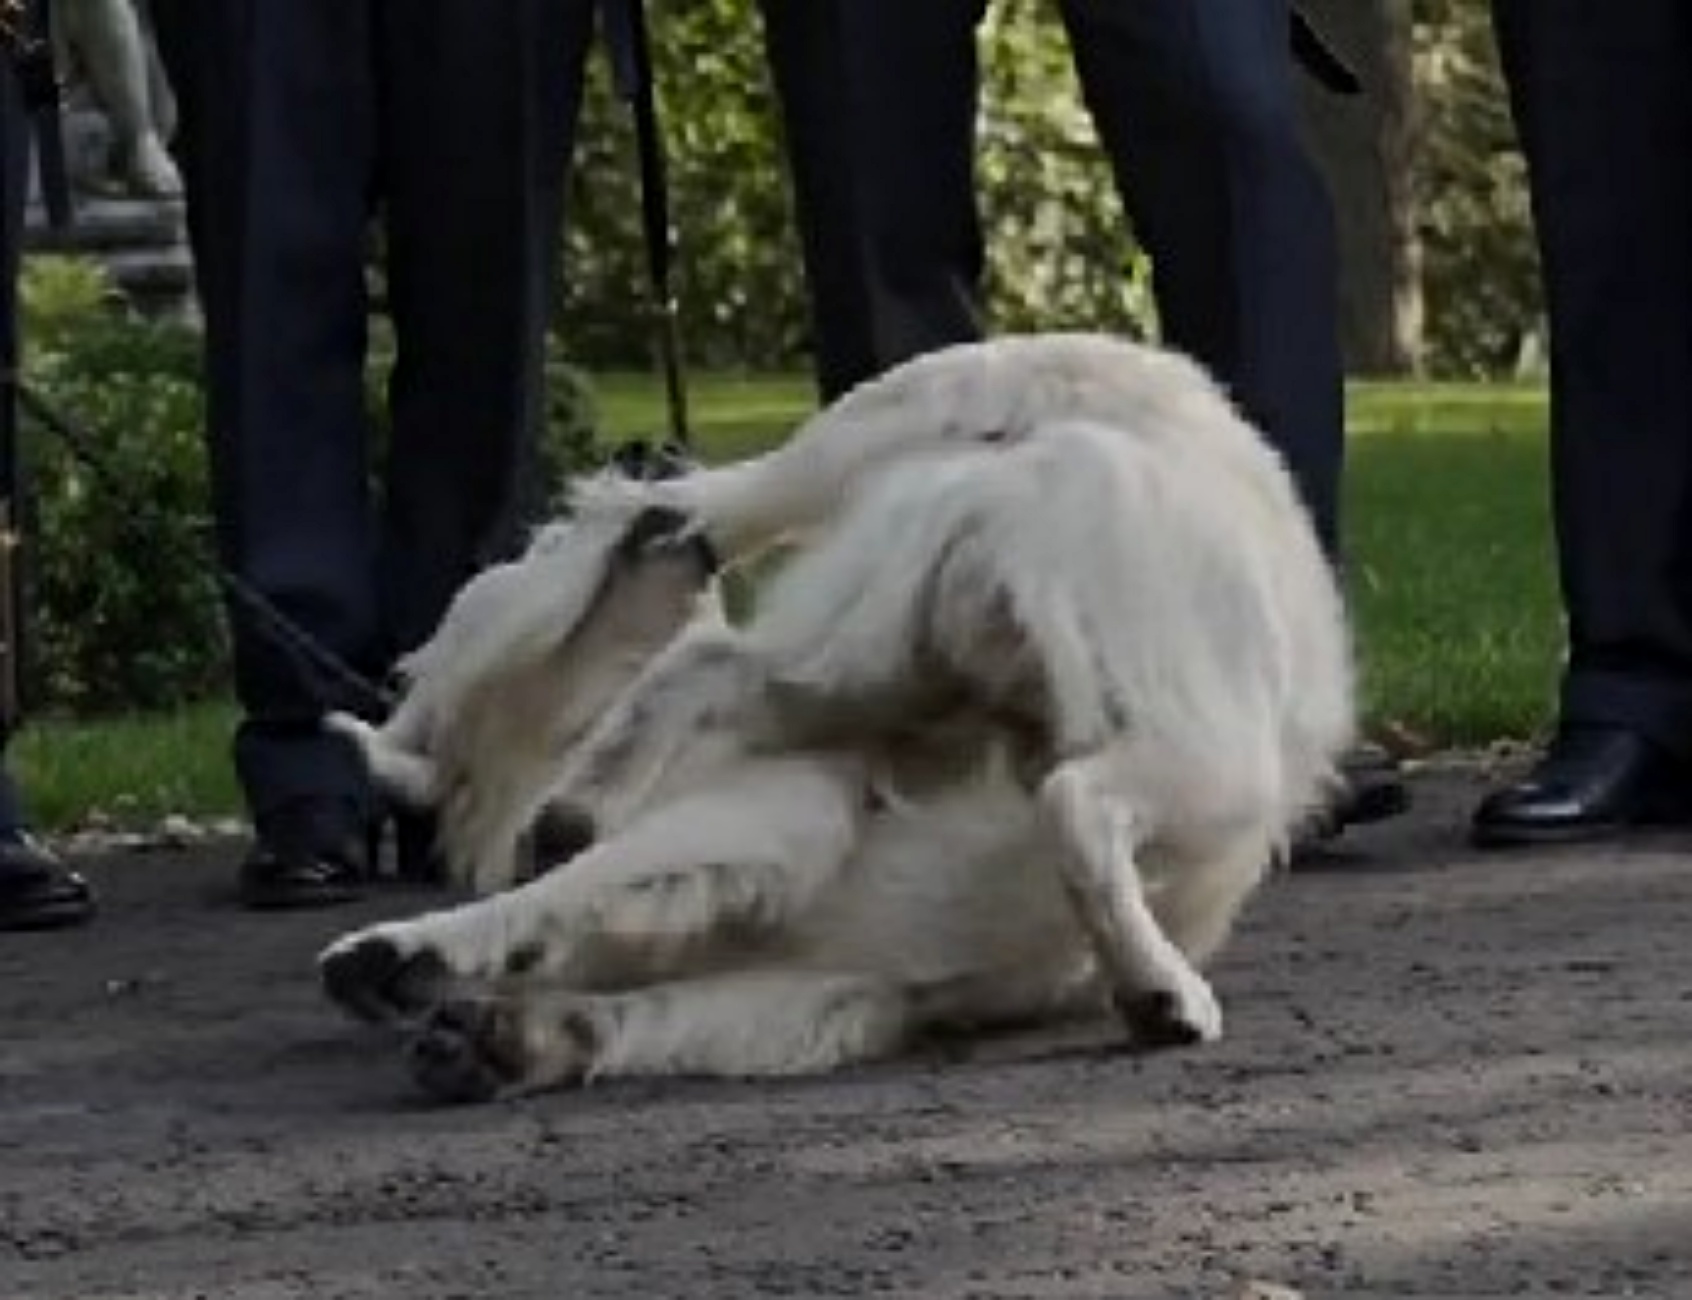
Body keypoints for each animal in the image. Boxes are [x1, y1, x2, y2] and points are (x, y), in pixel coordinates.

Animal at [314, 331, 1346, 1096]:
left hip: (878, 655)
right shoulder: (785, 838)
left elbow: (628, 995)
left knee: (709, 658)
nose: (649, 473)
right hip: (1199, 755)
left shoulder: (831, 984)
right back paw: (1161, 989)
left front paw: (499, 1023)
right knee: (1075, 805)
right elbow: (558, 911)